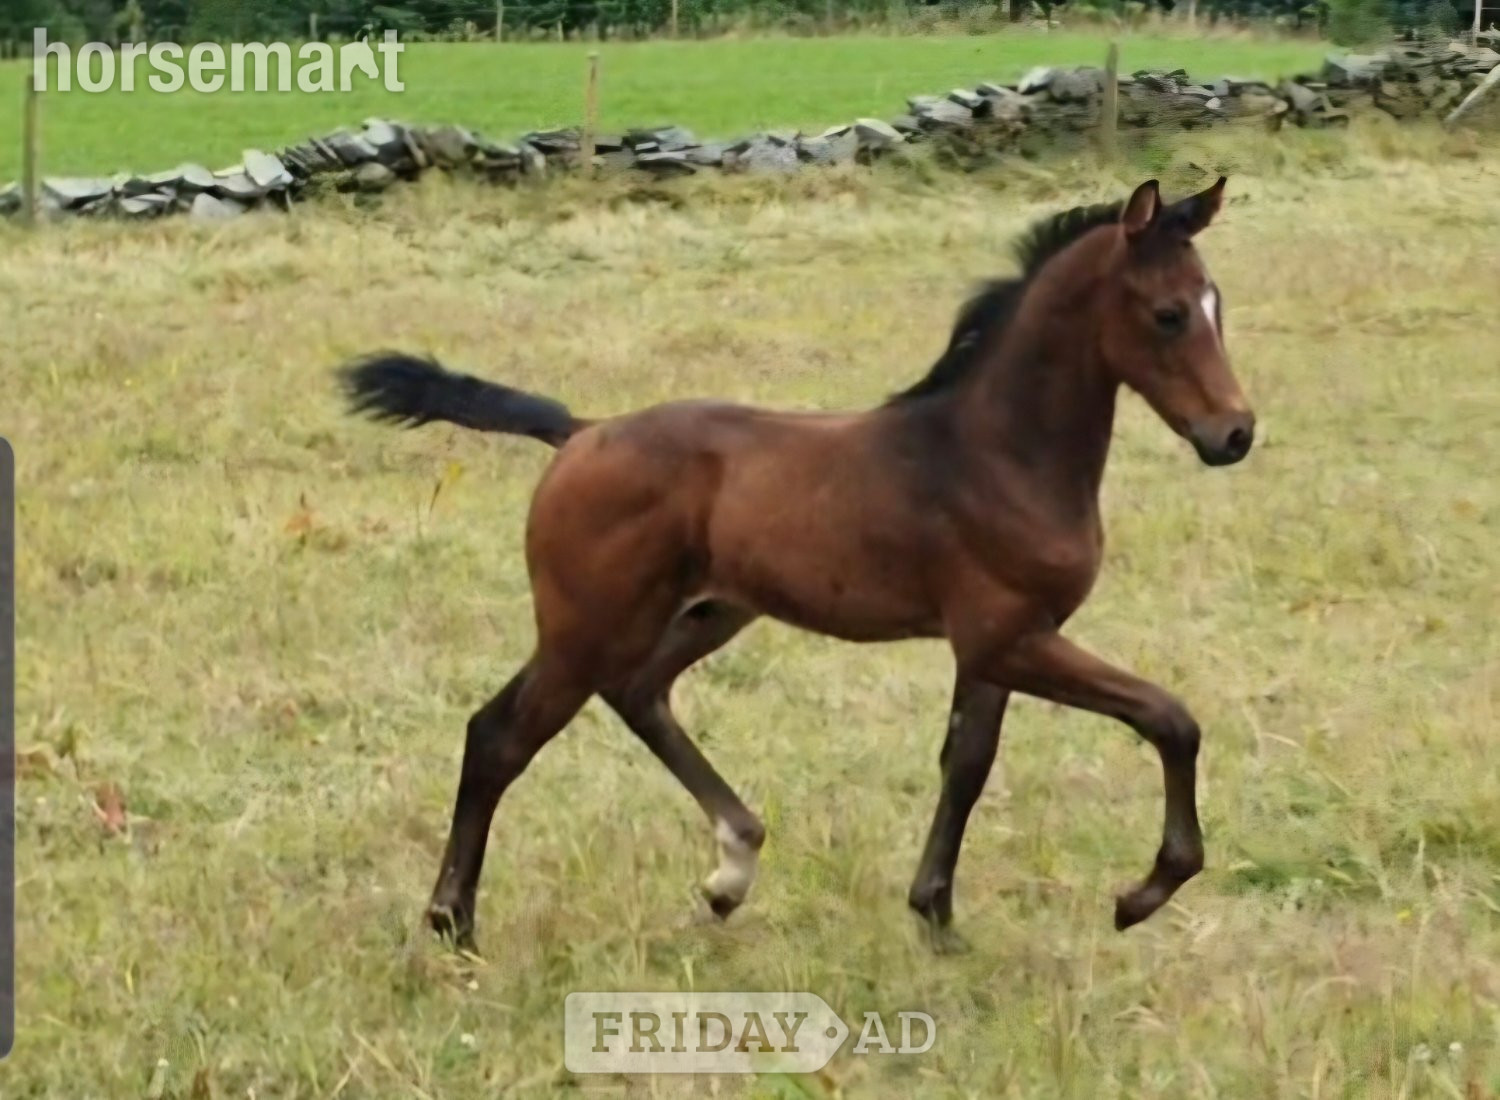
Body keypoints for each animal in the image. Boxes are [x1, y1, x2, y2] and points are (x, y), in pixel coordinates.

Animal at [336, 177, 1255, 953]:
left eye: (1218, 304)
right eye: (1169, 313)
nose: (1236, 434)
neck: (995, 454)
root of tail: (580, 432)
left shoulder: (995, 644)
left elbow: (966, 764)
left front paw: (936, 918)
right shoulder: (1010, 638)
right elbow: (1170, 717)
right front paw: (1141, 896)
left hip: (706, 611)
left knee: (638, 693)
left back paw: (731, 868)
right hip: (586, 626)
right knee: (499, 735)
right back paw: (453, 921)